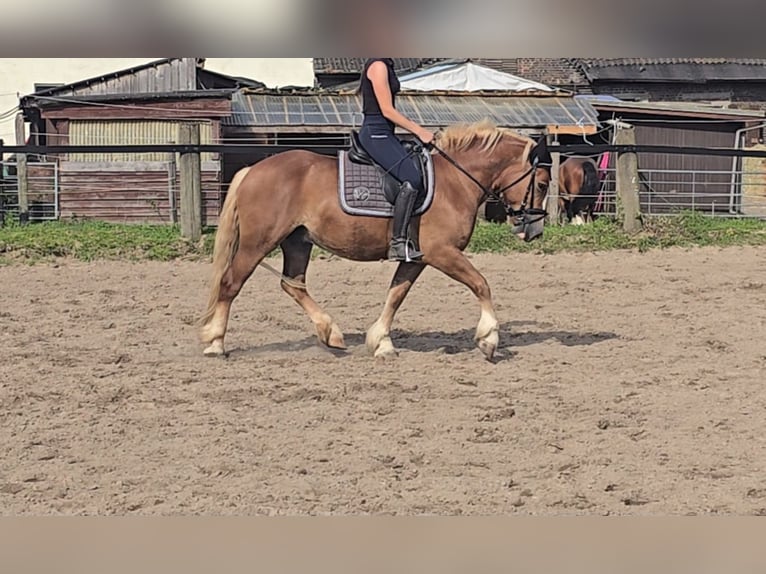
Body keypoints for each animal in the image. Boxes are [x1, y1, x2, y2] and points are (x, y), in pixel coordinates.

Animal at [198, 121, 544, 362]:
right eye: (541, 184)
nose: (535, 232)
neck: (455, 182)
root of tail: (253, 169)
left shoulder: (416, 258)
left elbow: (396, 295)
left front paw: (381, 343)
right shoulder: (442, 253)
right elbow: (481, 284)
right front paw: (489, 339)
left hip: (298, 242)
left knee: (293, 284)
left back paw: (331, 333)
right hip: (257, 243)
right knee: (231, 283)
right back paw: (215, 343)